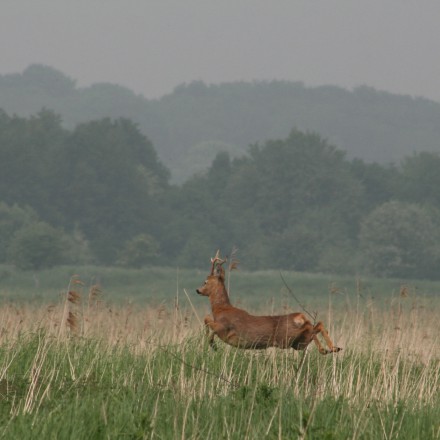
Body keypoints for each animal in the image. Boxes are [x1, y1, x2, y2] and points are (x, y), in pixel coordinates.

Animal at [197, 251, 344, 354]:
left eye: (205, 281)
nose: (198, 290)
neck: (220, 309)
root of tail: (300, 317)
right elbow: (207, 319)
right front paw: (211, 343)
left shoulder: (223, 327)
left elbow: (207, 320)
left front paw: (213, 344)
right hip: (298, 343)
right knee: (317, 325)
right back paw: (331, 349)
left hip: (286, 338)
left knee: (312, 326)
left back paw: (329, 348)